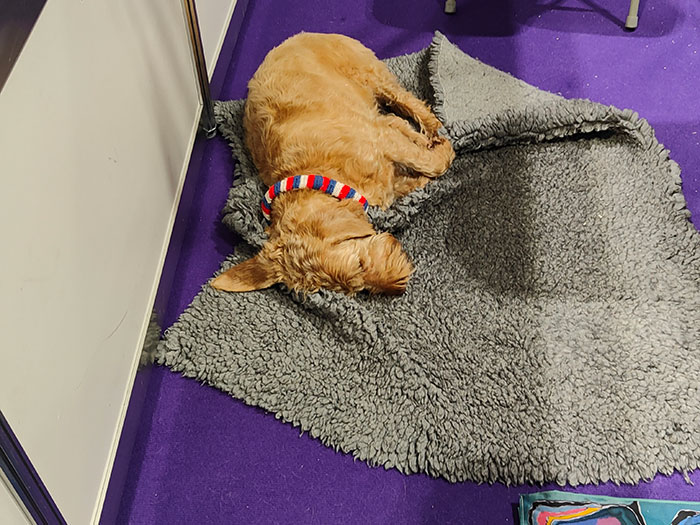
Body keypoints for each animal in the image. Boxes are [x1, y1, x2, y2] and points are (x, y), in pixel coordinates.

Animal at [212, 32, 455, 295]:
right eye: (353, 289)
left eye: (360, 263)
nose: (399, 287)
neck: (320, 176)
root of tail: (300, 35)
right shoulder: (386, 171)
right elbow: (412, 176)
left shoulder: (382, 140)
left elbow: (430, 163)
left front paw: (443, 152)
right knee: (393, 118)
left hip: (370, 73)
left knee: (405, 102)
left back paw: (434, 128)